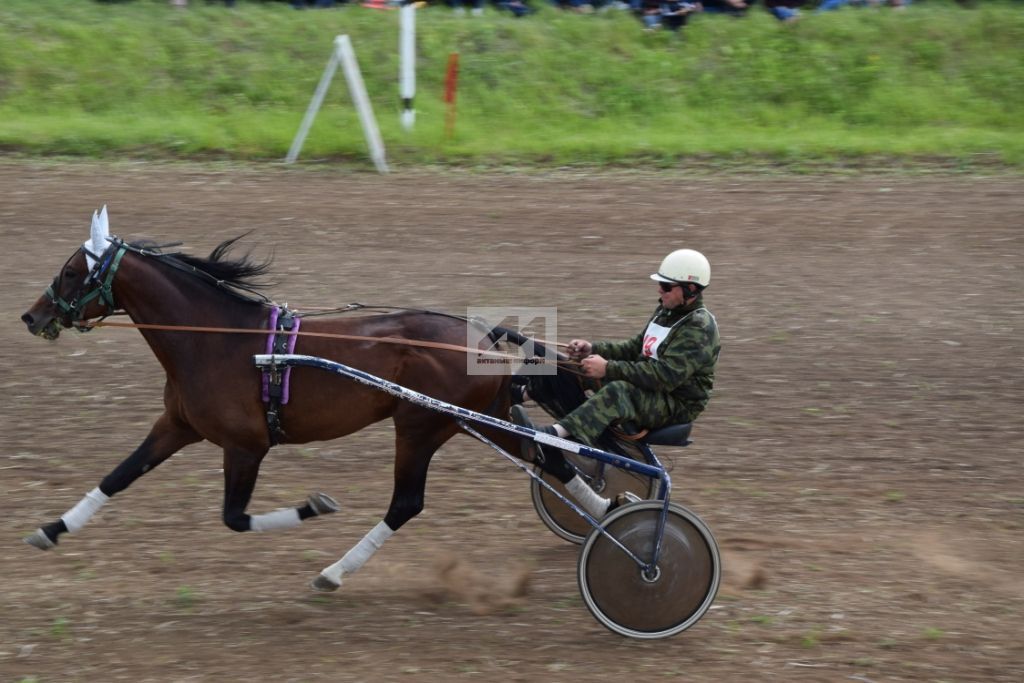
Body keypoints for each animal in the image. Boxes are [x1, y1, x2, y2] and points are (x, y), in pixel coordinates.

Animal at [19, 209, 532, 593]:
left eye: (70, 271)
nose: (30, 316)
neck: (218, 340)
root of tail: (484, 336)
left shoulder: (246, 446)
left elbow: (234, 518)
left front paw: (315, 506)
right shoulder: (177, 425)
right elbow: (118, 477)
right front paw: (49, 530)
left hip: (420, 426)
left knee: (405, 504)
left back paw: (333, 573)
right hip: (480, 418)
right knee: (543, 457)